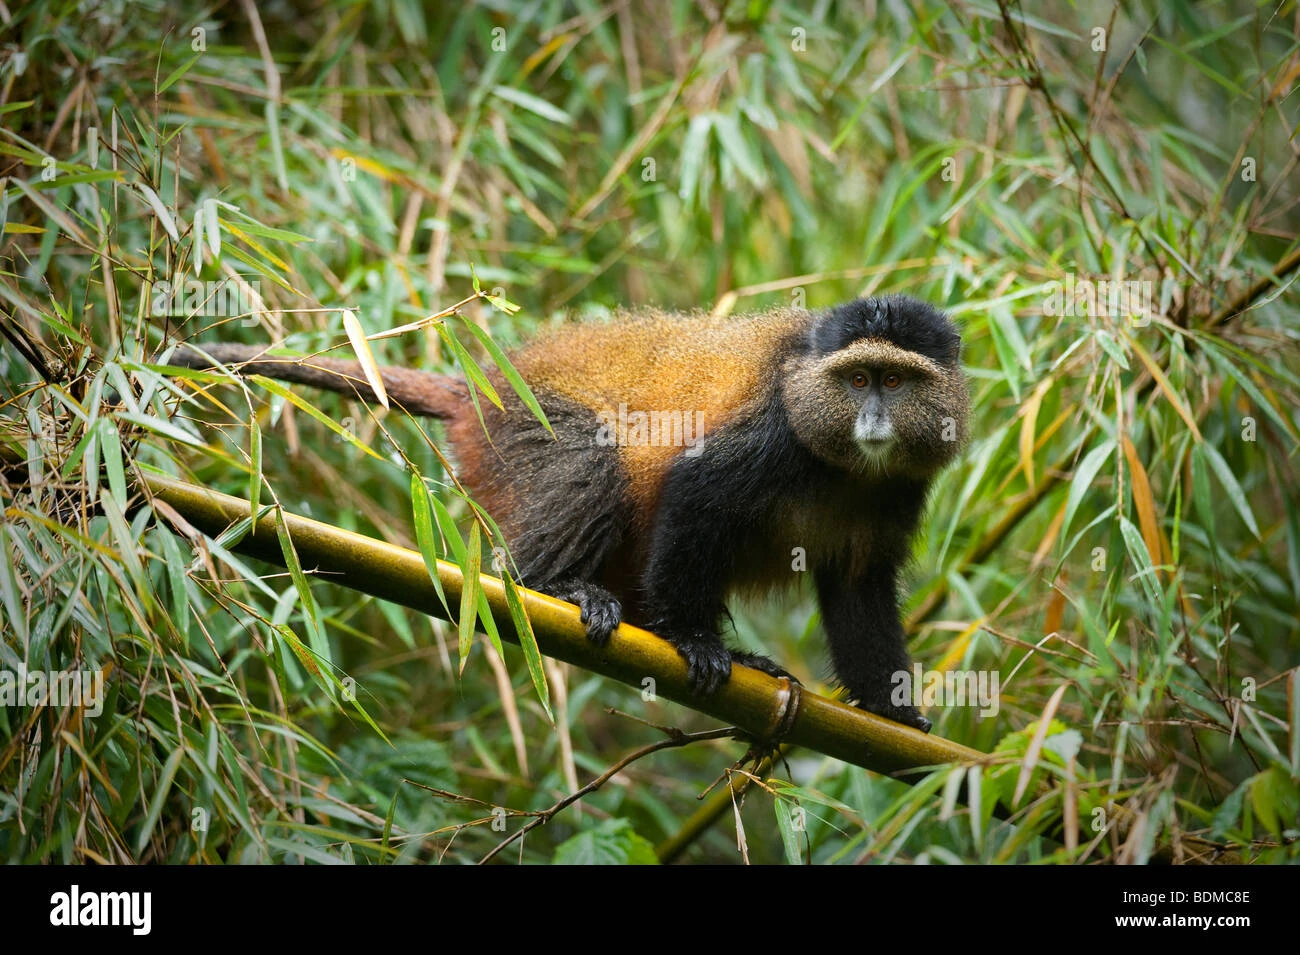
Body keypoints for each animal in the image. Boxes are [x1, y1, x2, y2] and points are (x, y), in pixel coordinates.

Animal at [174, 294, 968, 731]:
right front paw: (694, 640)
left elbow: (860, 586)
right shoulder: (771, 435)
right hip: (526, 435)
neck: (845, 464)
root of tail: (484, 388)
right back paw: (555, 586)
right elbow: (697, 491)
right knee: (592, 459)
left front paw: (893, 713)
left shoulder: (901, 491)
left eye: (896, 381)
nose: (873, 418)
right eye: (859, 379)